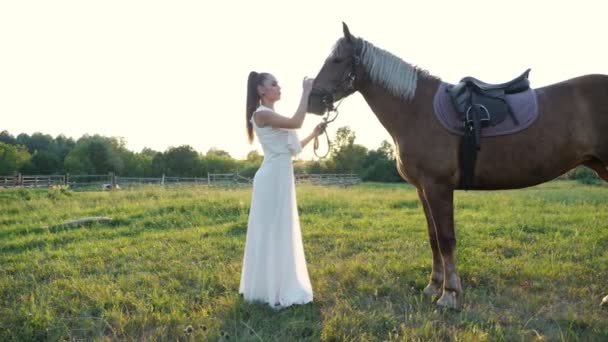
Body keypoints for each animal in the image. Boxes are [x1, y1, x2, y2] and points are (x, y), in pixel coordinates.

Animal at [308, 21, 608, 310]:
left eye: (336, 59)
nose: (312, 101)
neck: (415, 110)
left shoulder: (438, 186)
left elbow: (445, 239)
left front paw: (450, 295)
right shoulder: (422, 189)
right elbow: (433, 237)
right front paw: (433, 286)